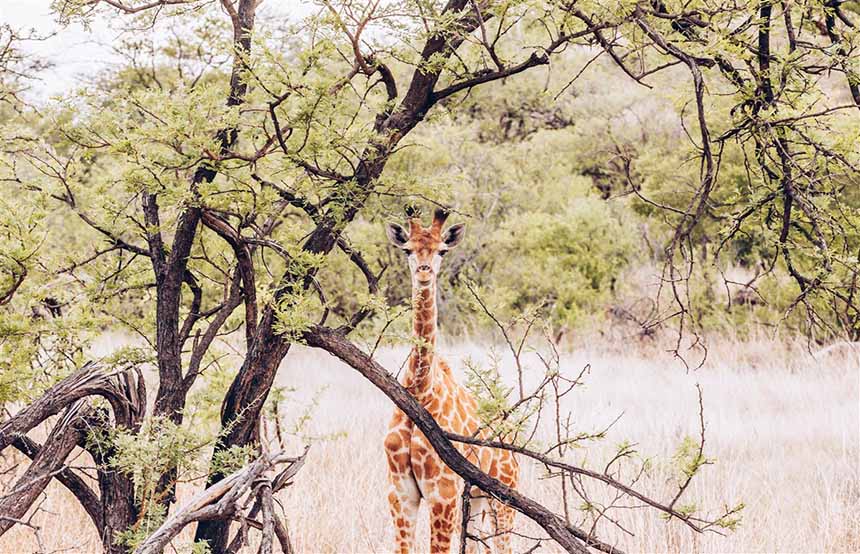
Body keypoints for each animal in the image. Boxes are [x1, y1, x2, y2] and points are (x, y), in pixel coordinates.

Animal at [386, 207, 520, 552]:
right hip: (478, 500)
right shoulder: (400, 493)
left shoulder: (442, 493)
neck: (420, 389)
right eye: (408, 250)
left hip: (504, 498)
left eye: (441, 251)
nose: (424, 271)